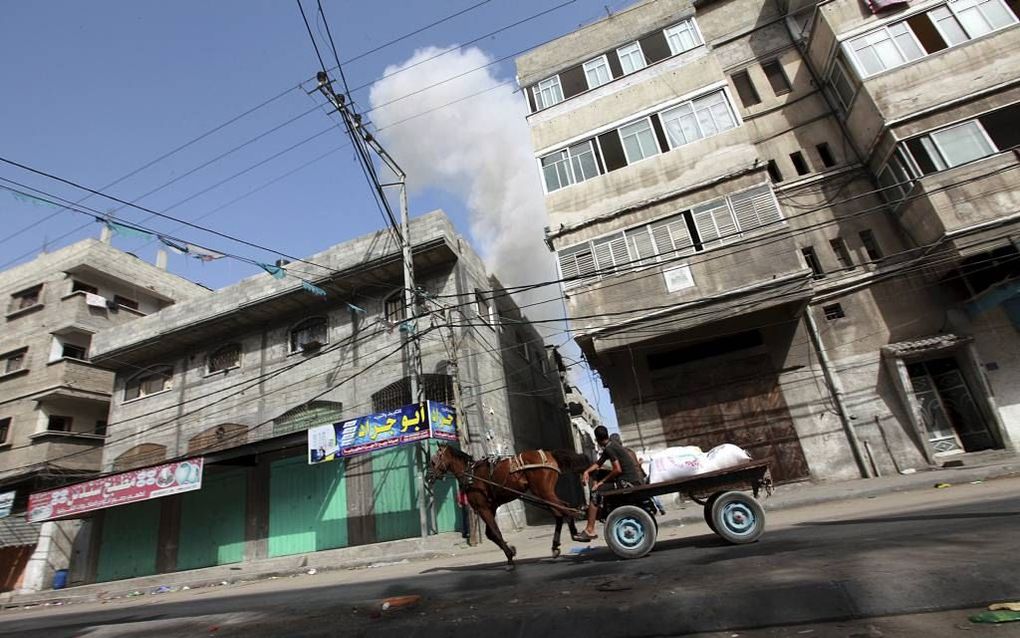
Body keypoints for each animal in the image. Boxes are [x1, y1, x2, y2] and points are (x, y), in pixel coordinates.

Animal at [426, 443, 591, 567]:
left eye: (433, 460)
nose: (428, 477)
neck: (470, 474)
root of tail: (548, 454)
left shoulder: (483, 508)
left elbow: (495, 532)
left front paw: (510, 556)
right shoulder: (491, 507)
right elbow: (490, 534)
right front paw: (510, 550)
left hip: (543, 492)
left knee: (564, 507)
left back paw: (576, 531)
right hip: (544, 493)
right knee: (560, 511)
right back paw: (559, 543)